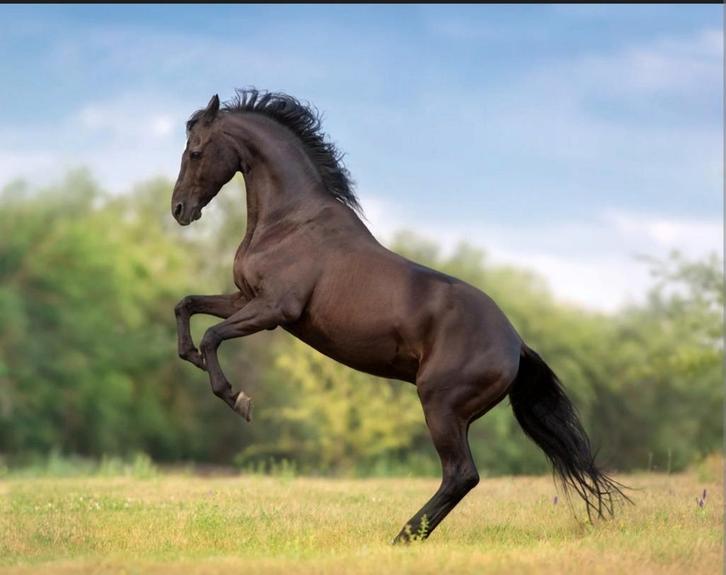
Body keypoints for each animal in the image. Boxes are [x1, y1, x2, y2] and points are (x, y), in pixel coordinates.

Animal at [171, 89, 627, 542]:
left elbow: (213, 335)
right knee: (461, 476)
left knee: (461, 474)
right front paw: (191, 356)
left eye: (195, 152)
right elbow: (187, 306)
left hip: (440, 405)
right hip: (453, 414)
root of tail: (516, 345)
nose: (179, 209)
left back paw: (403, 537)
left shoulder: (273, 309)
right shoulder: (244, 298)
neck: (291, 223)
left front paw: (237, 398)